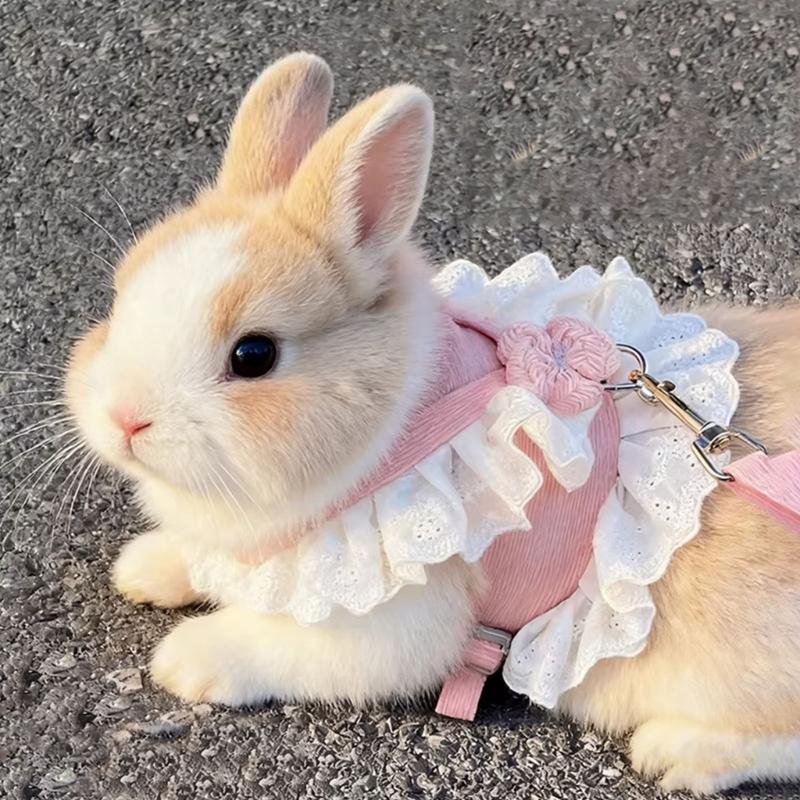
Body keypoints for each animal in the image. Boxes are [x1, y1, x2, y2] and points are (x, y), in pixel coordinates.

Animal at [64, 52, 800, 794]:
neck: (394, 431)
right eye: (121, 300)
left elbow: (281, 642)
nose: (125, 419)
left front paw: (186, 657)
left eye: (254, 355)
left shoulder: (392, 620)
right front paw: (143, 566)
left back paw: (678, 752)